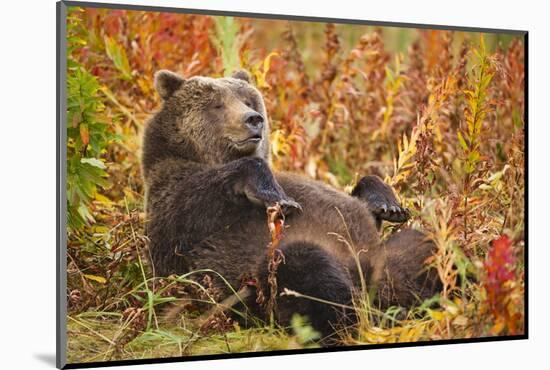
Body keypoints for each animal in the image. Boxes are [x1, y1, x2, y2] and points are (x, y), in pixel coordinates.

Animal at [143, 68, 444, 342]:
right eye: (217, 104)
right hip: (265, 283)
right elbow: (205, 199)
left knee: (422, 245)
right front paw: (278, 196)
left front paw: (388, 204)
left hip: (392, 258)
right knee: (305, 268)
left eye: (248, 100)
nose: (253, 120)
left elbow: (363, 204)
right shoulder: (180, 202)